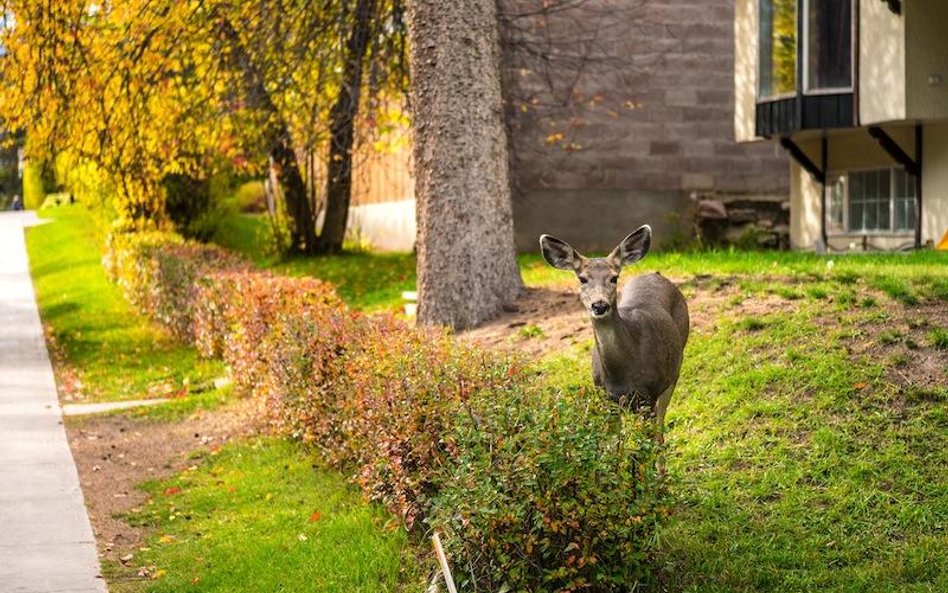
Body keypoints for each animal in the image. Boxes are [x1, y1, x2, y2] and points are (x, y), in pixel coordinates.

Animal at [540, 224, 688, 438]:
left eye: (614, 277)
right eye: (582, 279)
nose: (599, 305)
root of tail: (657, 274)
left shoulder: (649, 395)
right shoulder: (606, 398)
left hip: (675, 367)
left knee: (661, 424)